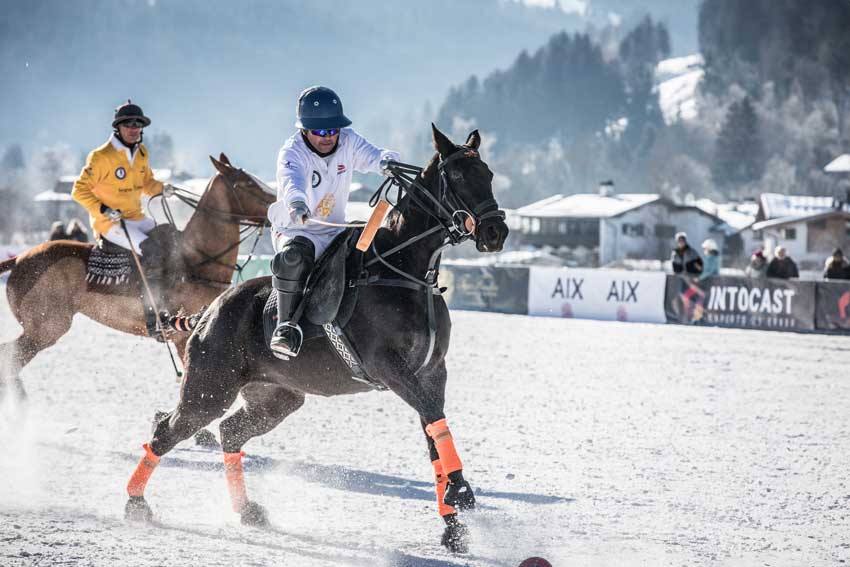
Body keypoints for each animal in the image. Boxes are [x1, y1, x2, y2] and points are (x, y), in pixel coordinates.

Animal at [0, 153, 274, 398]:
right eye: (247, 184)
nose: (278, 201)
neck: (196, 259)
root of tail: (19, 259)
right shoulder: (185, 336)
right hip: (45, 327)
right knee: (9, 358)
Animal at [122, 125, 506, 556]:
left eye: (488, 174)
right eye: (456, 176)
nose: (496, 232)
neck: (405, 272)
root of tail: (209, 310)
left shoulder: (432, 371)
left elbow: (434, 431)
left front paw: (452, 527)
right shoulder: (389, 368)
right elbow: (433, 421)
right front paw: (462, 493)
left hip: (277, 397)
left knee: (230, 432)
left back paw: (247, 510)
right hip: (209, 388)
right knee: (168, 430)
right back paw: (136, 503)